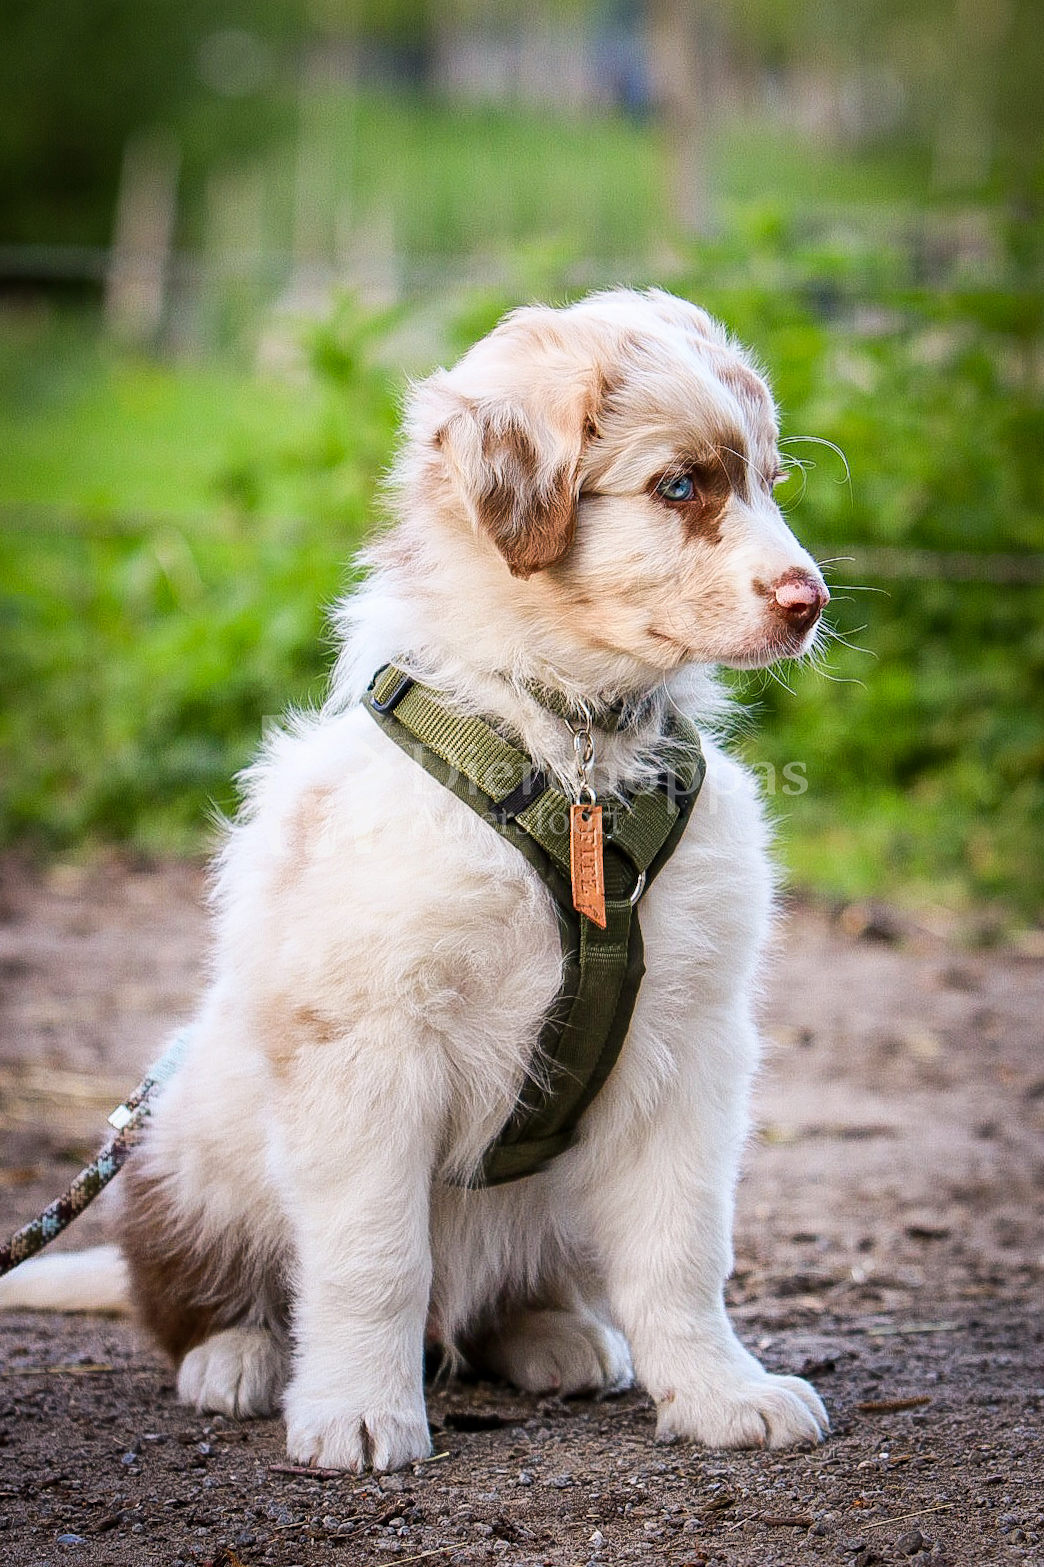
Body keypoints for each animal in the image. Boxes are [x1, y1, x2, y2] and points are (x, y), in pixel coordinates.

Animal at [2, 291, 827, 1466]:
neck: (570, 747)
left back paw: (553, 1333)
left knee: (504, 1299)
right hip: (190, 1144)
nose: (813, 600)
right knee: (188, 1290)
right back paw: (237, 1356)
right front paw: (355, 1408)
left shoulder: (688, 1041)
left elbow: (681, 1248)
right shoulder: (367, 1040)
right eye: (680, 485)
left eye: (771, 479)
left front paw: (722, 1392)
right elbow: (372, 1256)